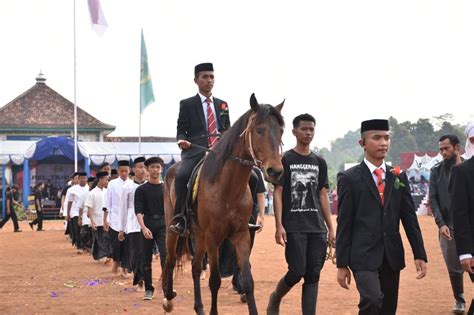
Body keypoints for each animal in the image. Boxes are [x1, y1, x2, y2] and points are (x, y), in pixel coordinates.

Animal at [163, 94, 284, 315]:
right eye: (259, 130)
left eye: (280, 131)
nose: (275, 171)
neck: (227, 187)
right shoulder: (213, 236)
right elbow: (215, 280)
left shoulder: (241, 234)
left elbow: (247, 280)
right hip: (174, 229)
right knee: (170, 258)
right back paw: (167, 298)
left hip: (199, 234)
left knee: (195, 267)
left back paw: (199, 307)